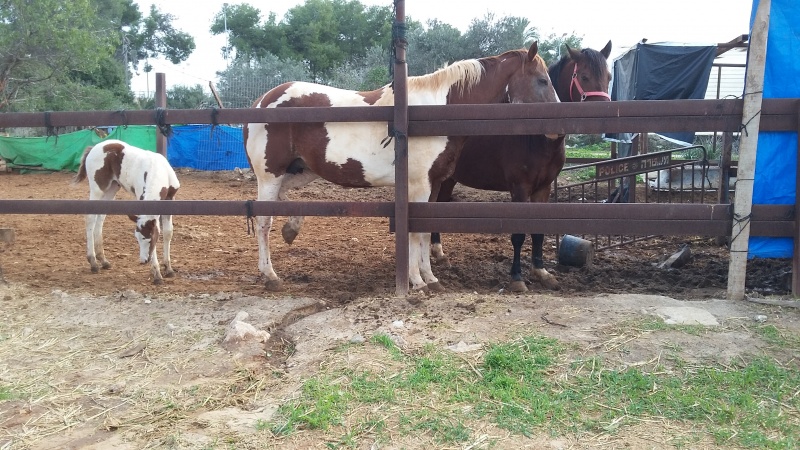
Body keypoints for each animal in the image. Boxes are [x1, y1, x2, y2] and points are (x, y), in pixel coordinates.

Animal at [75, 139, 180, 284]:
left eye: (147, 238)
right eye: (138, 238)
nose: (143, 260)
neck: (157, 170)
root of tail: (94, 147)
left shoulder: (170, 199)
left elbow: (167, 232)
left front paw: (168, 269)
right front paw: (157, 274)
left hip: (113, 187)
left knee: (100, 217)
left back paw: (103, 260)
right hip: (98, 188)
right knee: (91, 217)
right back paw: (93, 262)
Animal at [244, 41, 556, 292]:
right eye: (542, 80)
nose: (554, 132)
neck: (433, 112)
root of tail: (261, 102)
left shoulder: (435, 184)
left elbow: (426, 230)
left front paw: (431, 279)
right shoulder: (419, 185)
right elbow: (415, 232)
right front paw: (417, 281)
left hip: (299, 172)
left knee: (281, 201)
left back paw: (292, 228)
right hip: (270, 174)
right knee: (263, 221)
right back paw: (270, 275)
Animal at [432, 41, 612, 292]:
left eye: (609, 77)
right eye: (584, 77)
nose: (602, 120)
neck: (536, 138)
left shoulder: (543, 188)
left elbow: (538, 232)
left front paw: (542, 272)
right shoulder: (520, 188)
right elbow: (518, 234)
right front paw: (517, 277)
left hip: (449, 179)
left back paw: (438, 253)